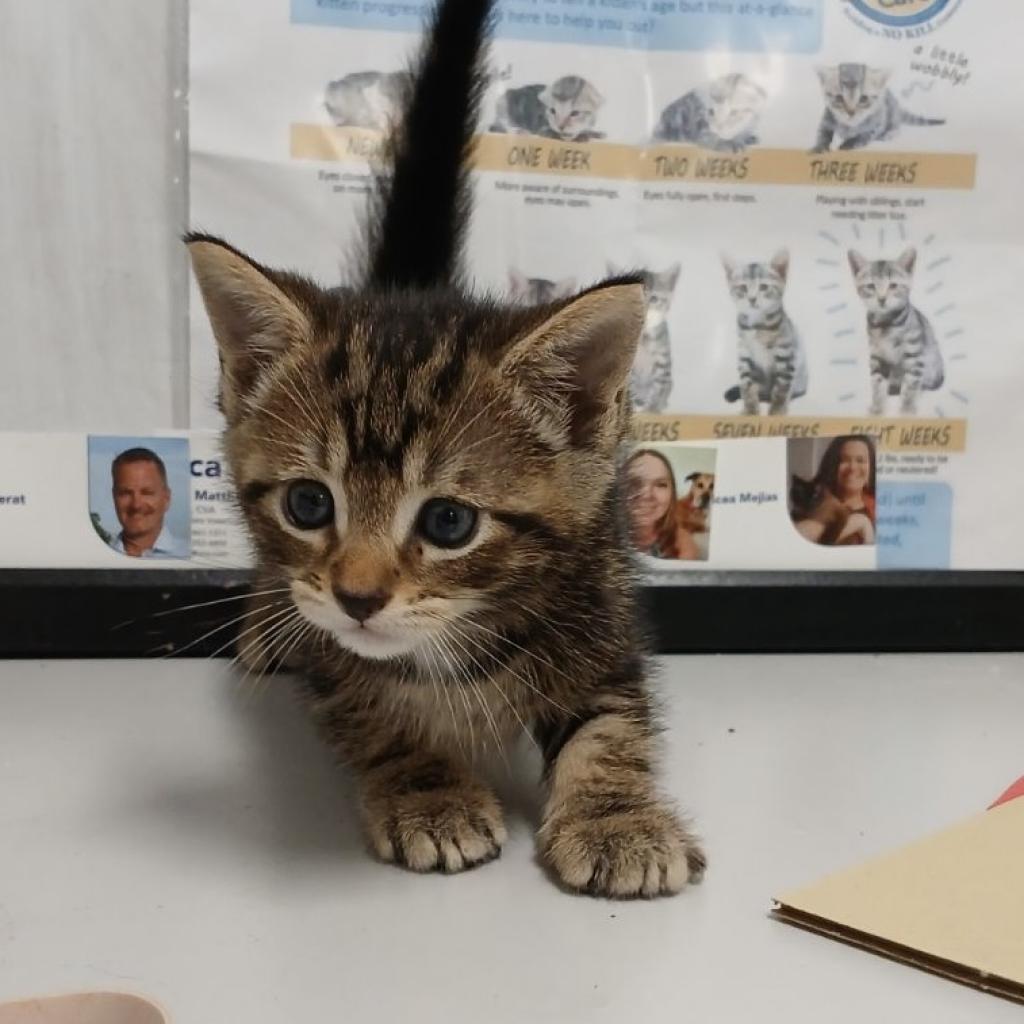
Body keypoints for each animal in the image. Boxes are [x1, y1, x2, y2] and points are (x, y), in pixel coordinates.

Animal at [724, 249, 802, 413]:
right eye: (743, 288)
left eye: (764, 287)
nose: (752, 299)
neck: (757, 326)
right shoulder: (744, 356)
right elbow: (747, 387)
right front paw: (750, 411)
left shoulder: (786, 357)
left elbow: (781, 390)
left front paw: (777, 412)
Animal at [811, 64, 946, 150]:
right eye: (839, 98)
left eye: (863, 99)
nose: (851, 112)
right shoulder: (826, 119)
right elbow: (822, 134)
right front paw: (818, 148)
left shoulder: (877, 123)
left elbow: (864, 135)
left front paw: (848, 144)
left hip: (892, 113)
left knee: (896, 127)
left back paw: (888, 134)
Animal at [847, 247, 942, 415]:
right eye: (871, 286)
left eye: (893, 285)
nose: (881, 299)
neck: (886, 324)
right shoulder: (877, 357)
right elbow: (876, 385)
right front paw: (877, 408)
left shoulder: (914, 356)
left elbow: (911, 386)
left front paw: (907, 410)